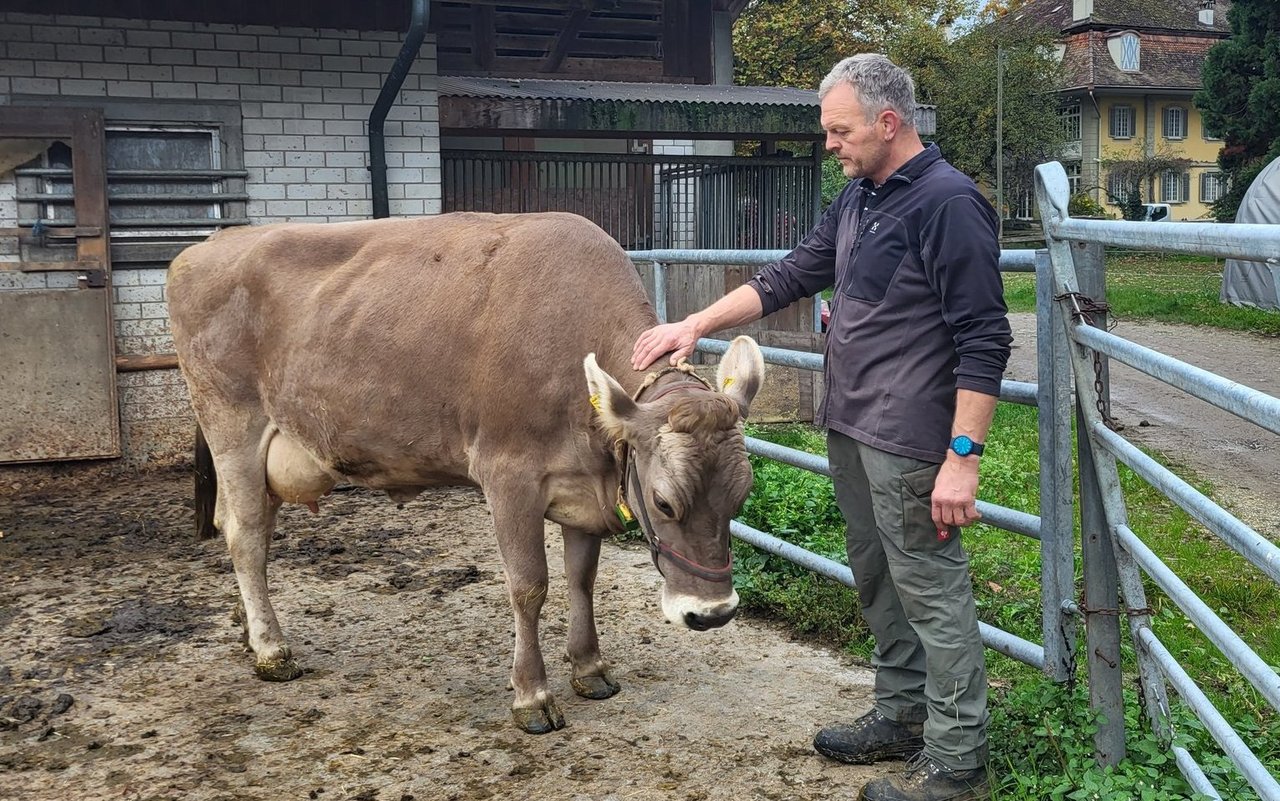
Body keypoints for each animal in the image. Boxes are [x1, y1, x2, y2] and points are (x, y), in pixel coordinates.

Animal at [172, 211, 768, 731]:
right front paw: (532, 696)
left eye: (741, 498)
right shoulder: (509, 476)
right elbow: (529, 586)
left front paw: (590, 668)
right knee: (247, 535)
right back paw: (272, 651)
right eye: (665, 502)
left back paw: (250, 631)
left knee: (238, 525)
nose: (713, 614)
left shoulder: (583, 483)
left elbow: (581, 578)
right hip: (232, 424)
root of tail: (208, 245)